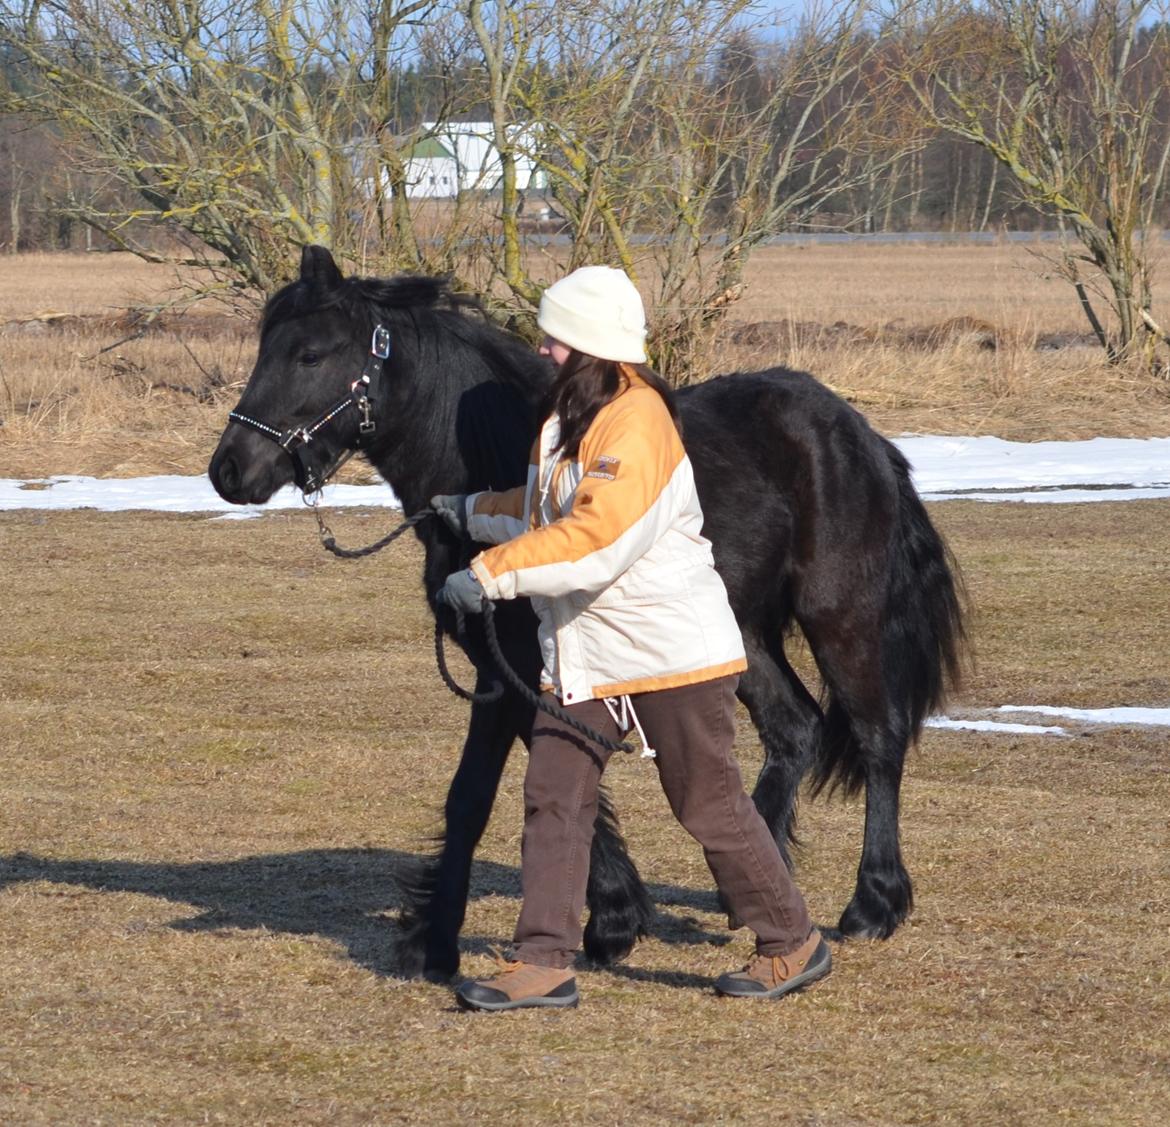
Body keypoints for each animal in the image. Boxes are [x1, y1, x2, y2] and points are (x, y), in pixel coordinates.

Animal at [212, 246, 968, 978]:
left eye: (311, 354)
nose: (228, 470)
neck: (489, 455)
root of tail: (857, 432)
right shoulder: (504, 670)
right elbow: (504, 787)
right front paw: (588, 920)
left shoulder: (514, 669)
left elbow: (495, 788)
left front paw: (480, 936)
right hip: (737, 633)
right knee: (794, 728)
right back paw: (749, 885)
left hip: (841, 616)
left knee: (877, 737)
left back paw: (873, 903)